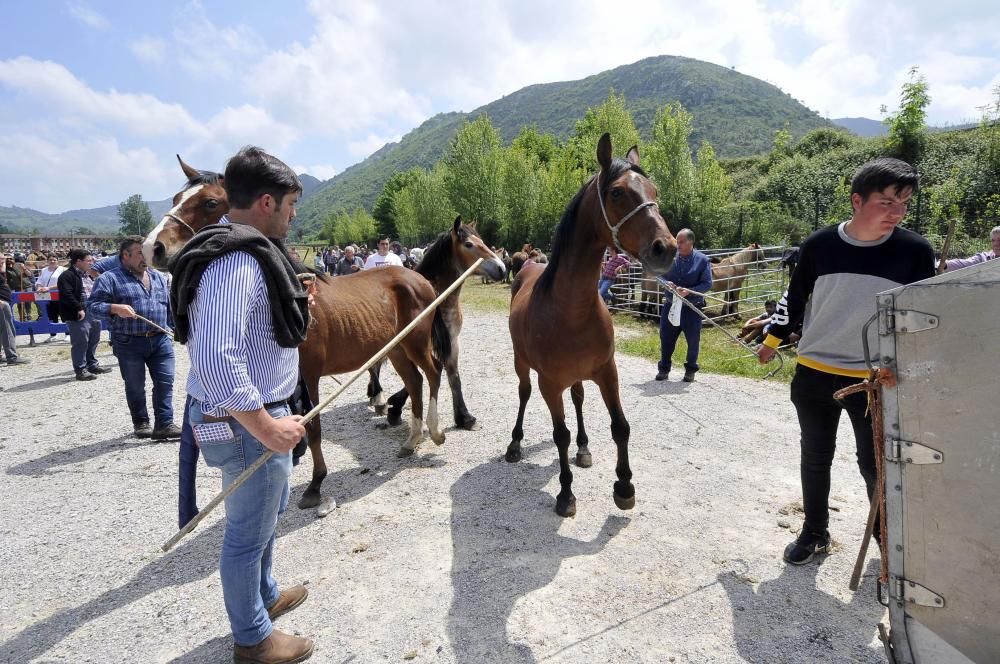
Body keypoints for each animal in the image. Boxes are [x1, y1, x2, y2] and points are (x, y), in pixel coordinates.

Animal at [144, 157, 446, 512]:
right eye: (176, 198)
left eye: (209, 202)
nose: (153, 248)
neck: (299, 297)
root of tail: (418, 278)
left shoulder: (309, 373)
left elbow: (312, 428)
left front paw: (315, 485)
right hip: (397, 348)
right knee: (415, 382)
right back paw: (411, 440)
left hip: (416, 342)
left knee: (433, 374)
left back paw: (435, 432)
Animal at [508, 134, 680, 520]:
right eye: (617, 193)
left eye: (654, 190)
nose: (666, 248)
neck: (570, 310)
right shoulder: (550, 384)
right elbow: (559, 434)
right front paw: (565, 495)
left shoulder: (607, 371)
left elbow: (620, 426)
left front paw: (625, 487)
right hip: (522, 364)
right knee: (524, 394)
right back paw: (514, 443)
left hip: (578, 377)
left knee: (579, 399)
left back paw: (584, 448)